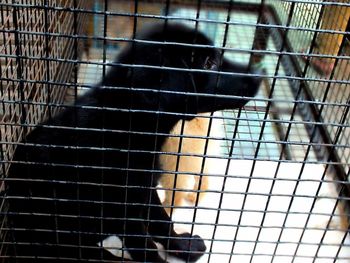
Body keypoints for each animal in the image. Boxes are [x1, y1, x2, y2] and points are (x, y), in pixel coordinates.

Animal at [4, 22, 262, 262]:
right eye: (209, 63)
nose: (260, 74)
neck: (129, 124)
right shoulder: (123, 208)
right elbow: (145, 245)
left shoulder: (145, 189)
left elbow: (162, 221)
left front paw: (183, 246)